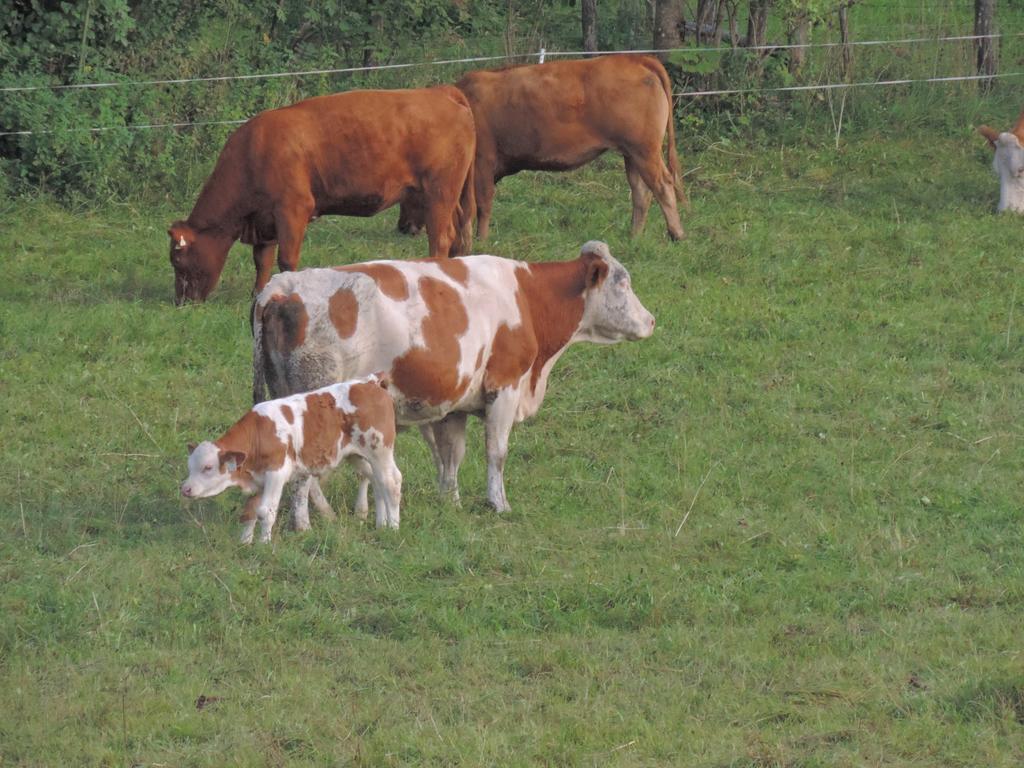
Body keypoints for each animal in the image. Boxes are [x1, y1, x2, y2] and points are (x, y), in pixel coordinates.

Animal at [165, 88, 477, 305]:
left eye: (177, 261)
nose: (180, 301)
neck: (254, 151)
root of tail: (441, 93)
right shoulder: (265, 220)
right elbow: (262, 261)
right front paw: (257, 295)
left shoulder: (293, 210)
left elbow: (286, 260)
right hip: (447, 197)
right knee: (457, 232)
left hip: (439, 193)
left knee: (441, 238)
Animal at [180, 372, 399, 540]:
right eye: (190, 467)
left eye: (208, 467)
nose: (185, 489)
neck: (259, 432)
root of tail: (369, 382)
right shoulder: (257, 479)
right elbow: (250, 511)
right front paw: (245, 543)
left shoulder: (276, 473)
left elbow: (266, 511)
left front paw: (264, 545)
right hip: (357, 455)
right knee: (376, 480)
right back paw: (381, 524)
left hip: (380, 450)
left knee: (392, 482)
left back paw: (393, 527)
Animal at [249, 240, 655, 518]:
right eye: (623, 283)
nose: (651, 320)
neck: (526, 296)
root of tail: (282, 286)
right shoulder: (504, 387)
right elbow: (496, 452)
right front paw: (499, 504)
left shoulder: (454, 403)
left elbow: (450, 455)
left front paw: (451, 501)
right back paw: (312, 518)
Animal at [399, 55, 688, 241]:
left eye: (409, 193)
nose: (402, 227)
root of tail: (634, 58)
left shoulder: (482, 161)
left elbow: (483, 202)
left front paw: (481, 239)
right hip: (633, 154)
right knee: (641, 193)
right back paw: (633, 237)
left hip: (644, 151)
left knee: (663, 185)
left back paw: (677, 234)